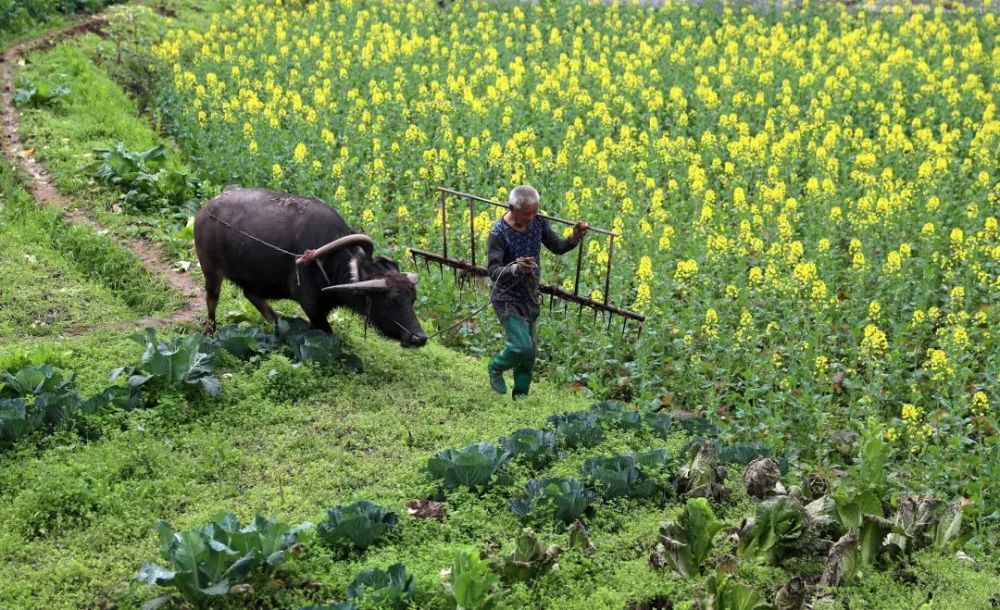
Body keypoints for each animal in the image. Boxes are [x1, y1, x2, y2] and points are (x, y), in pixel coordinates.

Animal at [193, 185, 428, 346]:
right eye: (392, 300)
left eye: (413, 299)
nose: (420, 337)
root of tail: (205, 210)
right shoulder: (310, 304)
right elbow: (325, 331)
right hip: (210, 269)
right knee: (212, 299)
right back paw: (210, 332)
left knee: (251, 294)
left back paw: (277, 322)